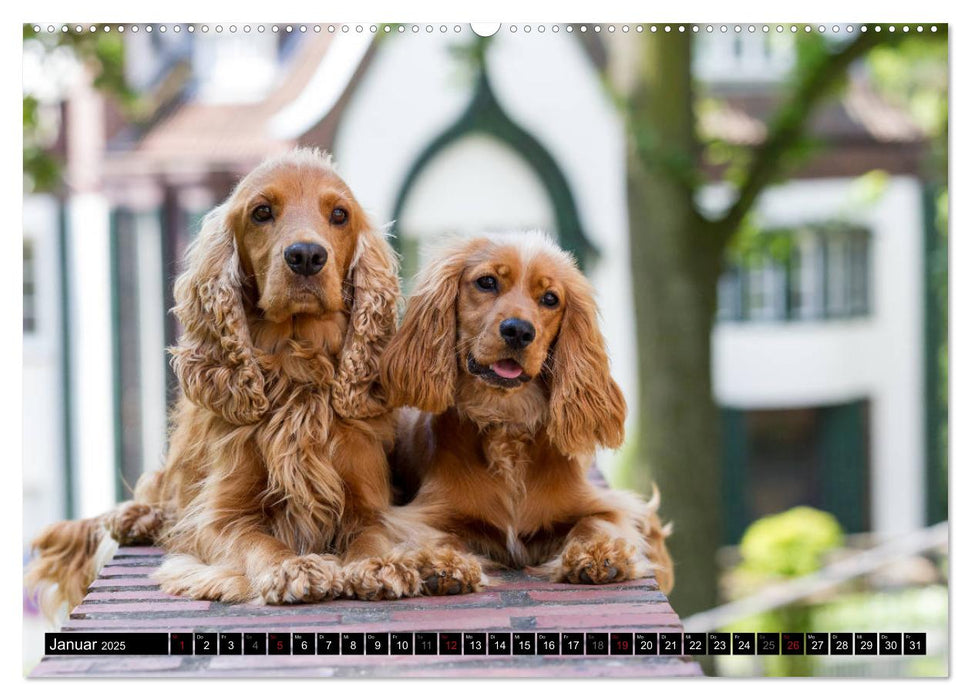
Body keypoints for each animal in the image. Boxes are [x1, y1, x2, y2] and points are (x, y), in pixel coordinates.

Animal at [372, 232, 676, 592]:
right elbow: (438, 536)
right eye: (487, 282)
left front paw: (599, 555)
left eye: (550, 298)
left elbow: (595, 523)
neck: (506, 417)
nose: (518, 330)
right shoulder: (418, 514)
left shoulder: (607, 506)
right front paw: (445, 564)